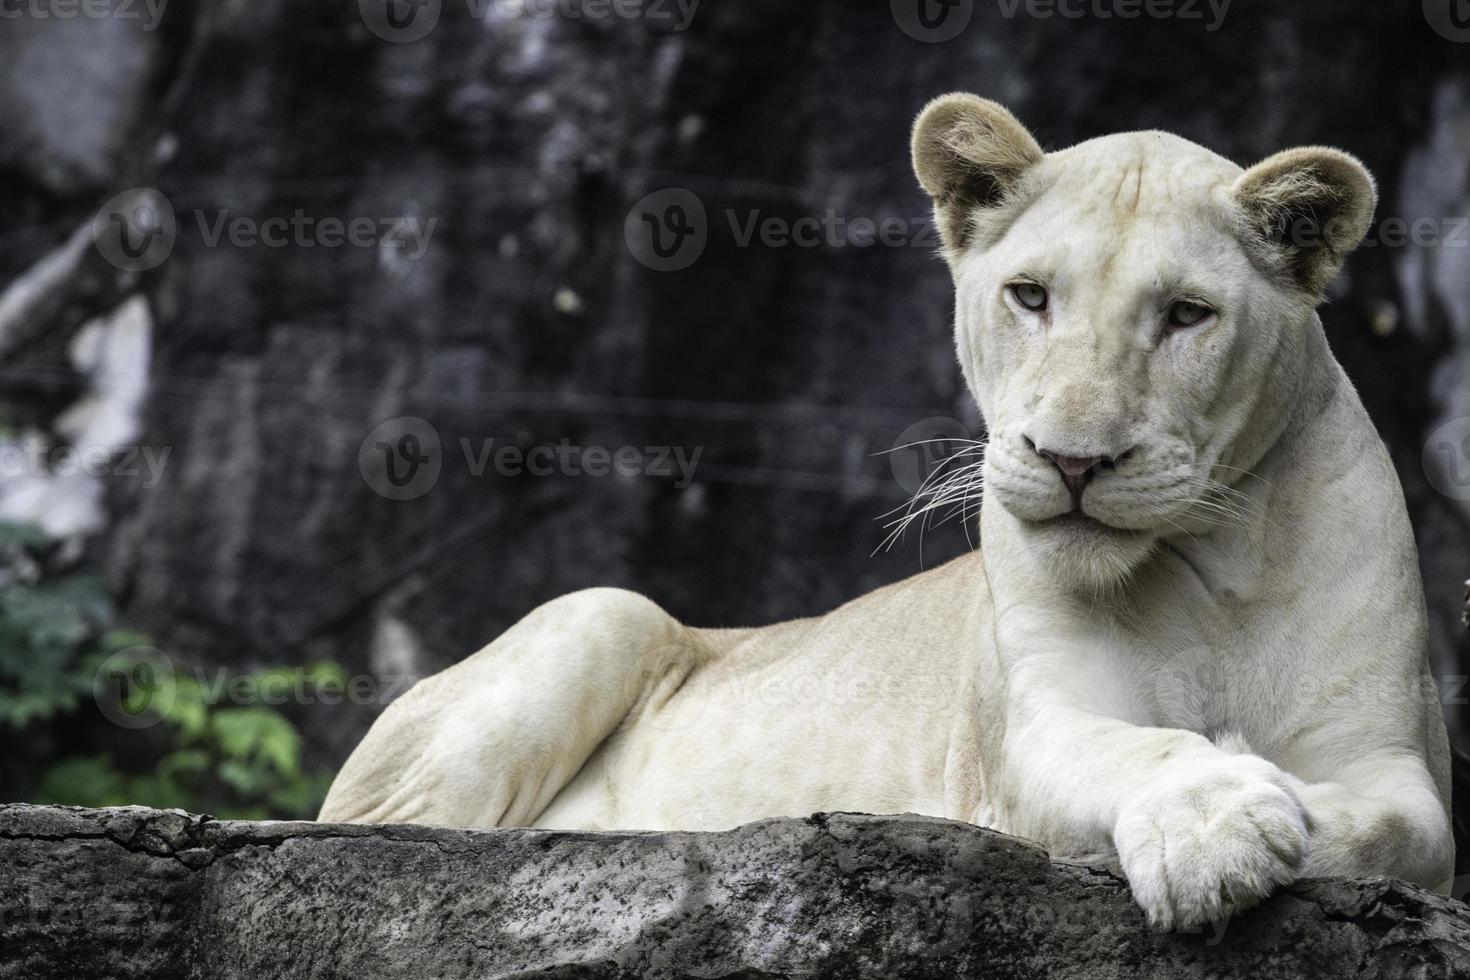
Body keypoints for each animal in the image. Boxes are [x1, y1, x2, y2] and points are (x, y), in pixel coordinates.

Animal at [316, 95, 1452, 934]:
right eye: (1030, 295)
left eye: (1185, 315)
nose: (1071, 461)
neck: (1211, 566)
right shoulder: (1030, 735)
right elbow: (1140, 748)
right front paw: (1217, 818)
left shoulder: (1390, 758)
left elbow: (1399, 828)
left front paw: (1276, 801)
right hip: (606, 611)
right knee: (394, 838)